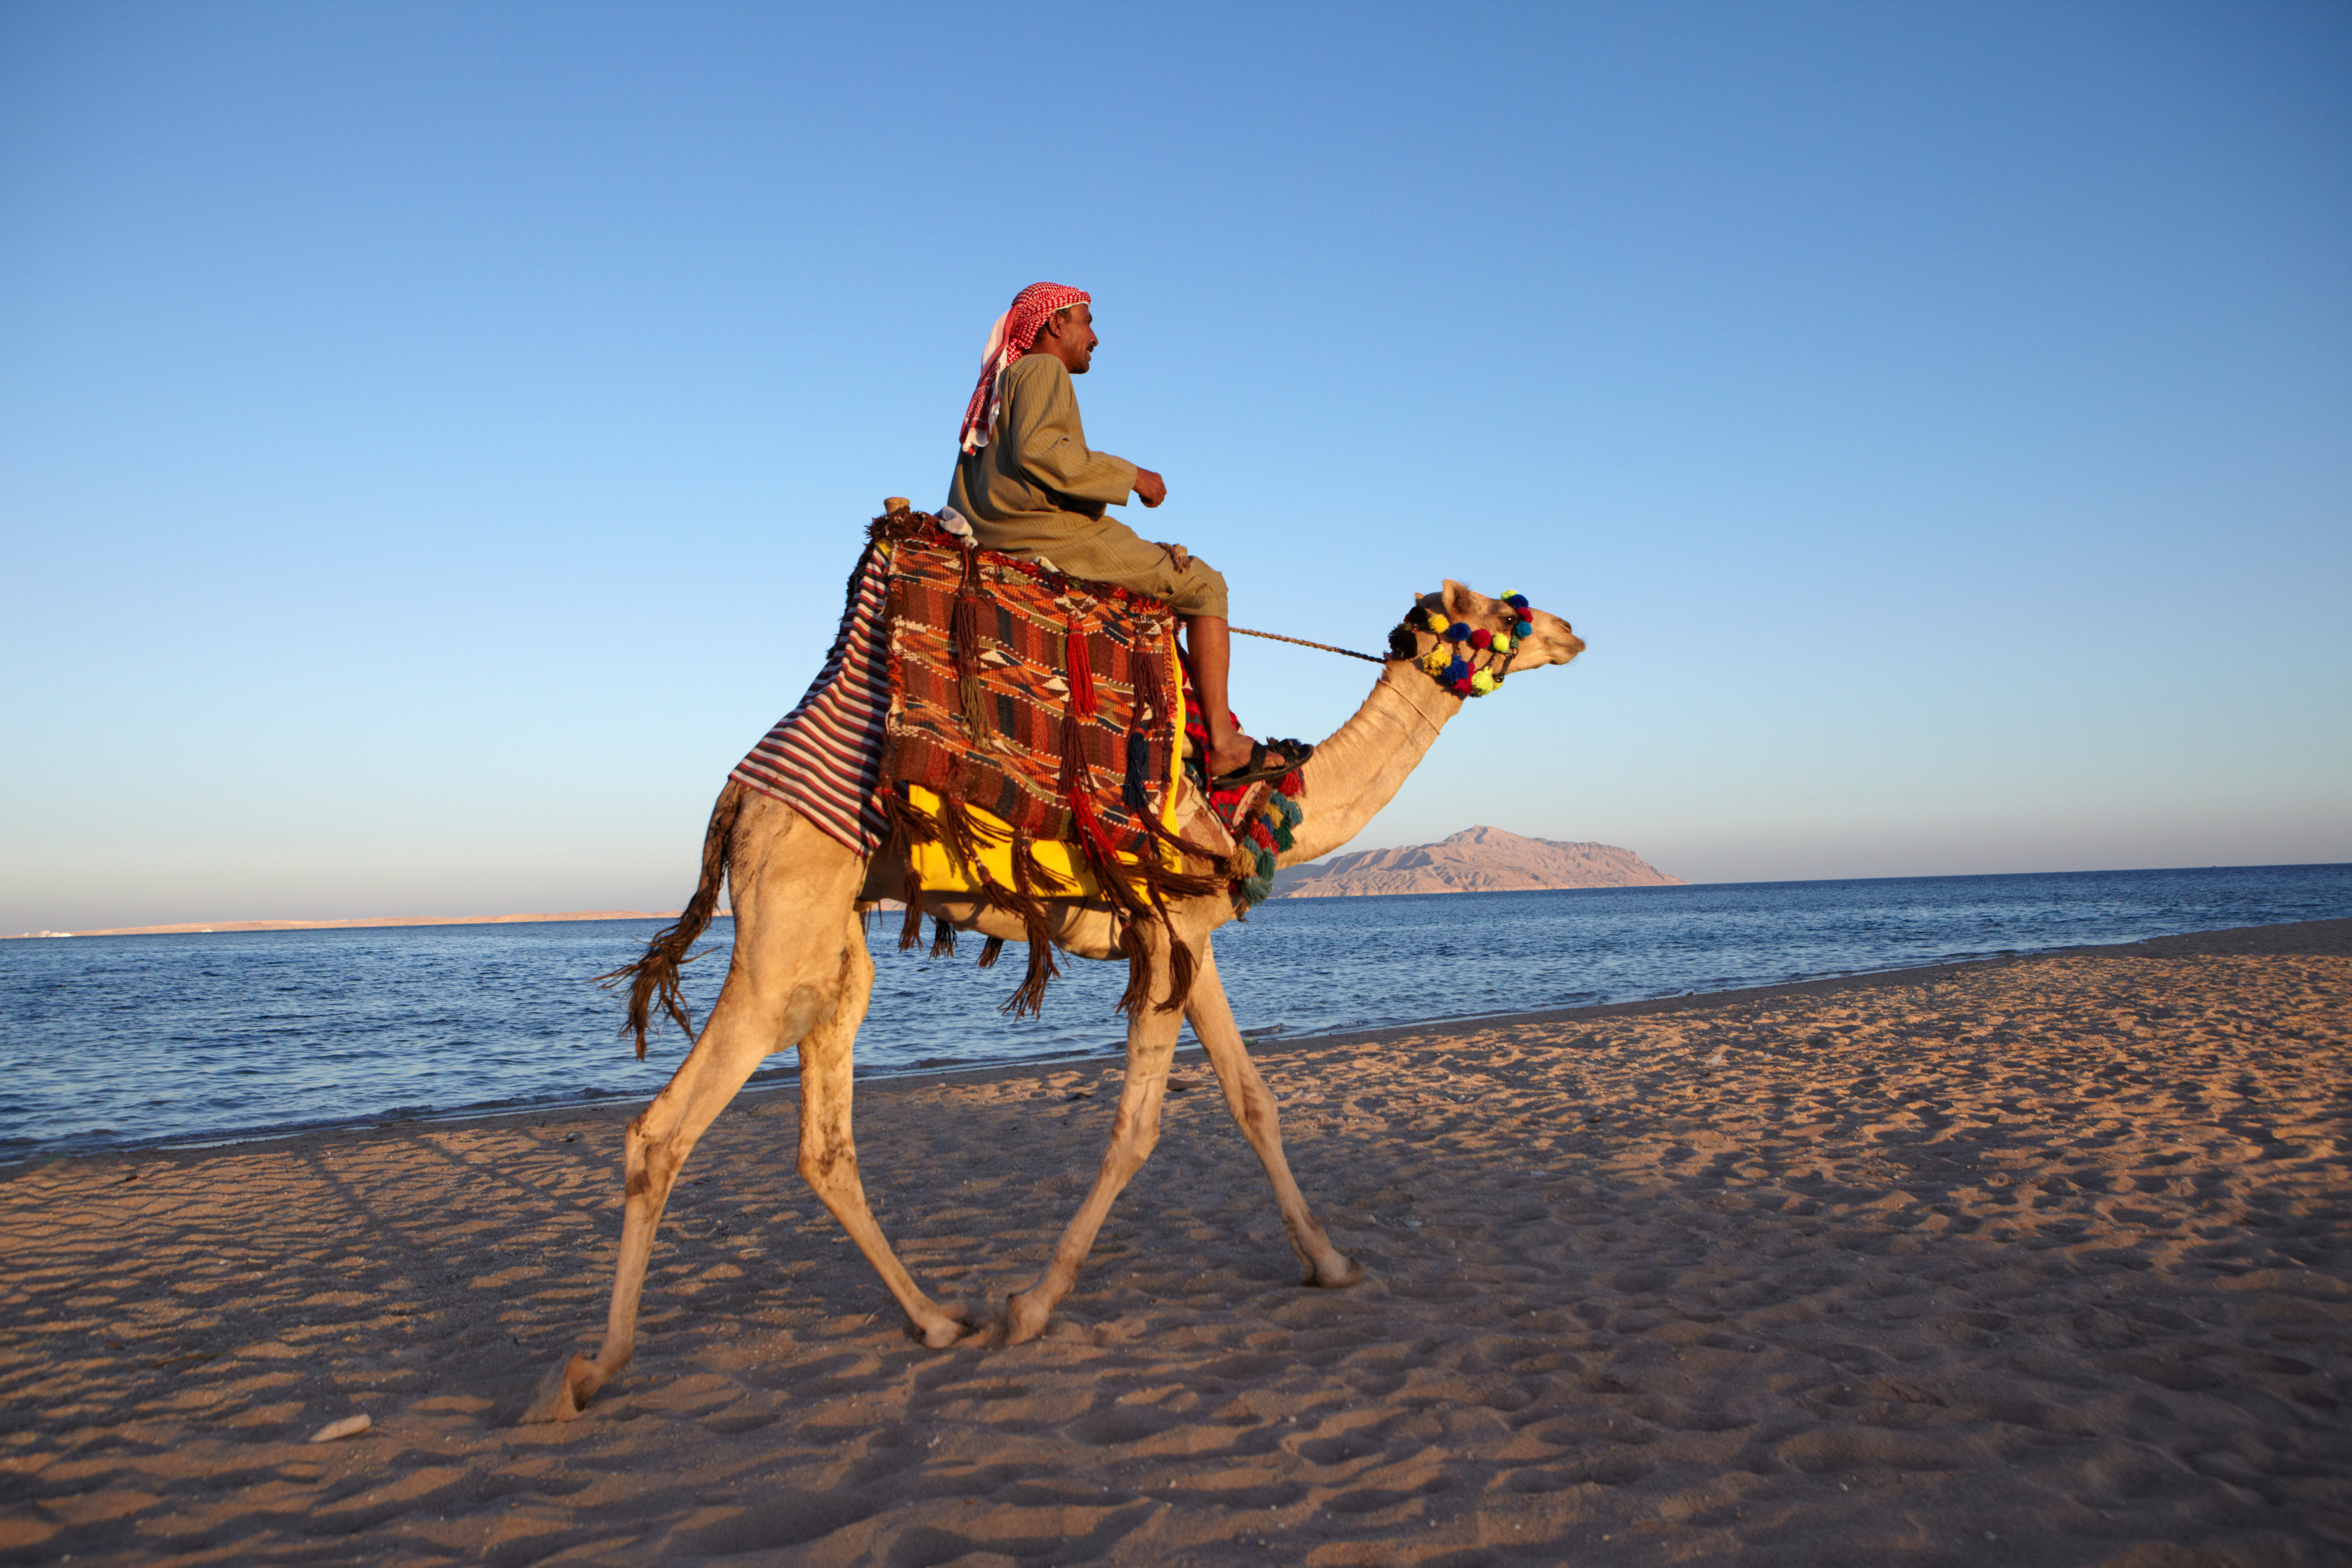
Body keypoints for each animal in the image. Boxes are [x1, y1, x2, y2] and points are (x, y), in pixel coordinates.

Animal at [523, 577, 1585, 1423]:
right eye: (1505, 610)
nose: (1572, 629)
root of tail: (735, 798)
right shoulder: (1165, 934)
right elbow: (1138, 1127)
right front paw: (1032, 1307)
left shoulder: (1193, 942)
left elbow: (1253, 1100)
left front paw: (1329, 1263)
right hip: (785, 925)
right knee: (665, 1130)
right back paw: (588, 1372)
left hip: (832, 944)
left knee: (823, 1139)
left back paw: (936, 1320)